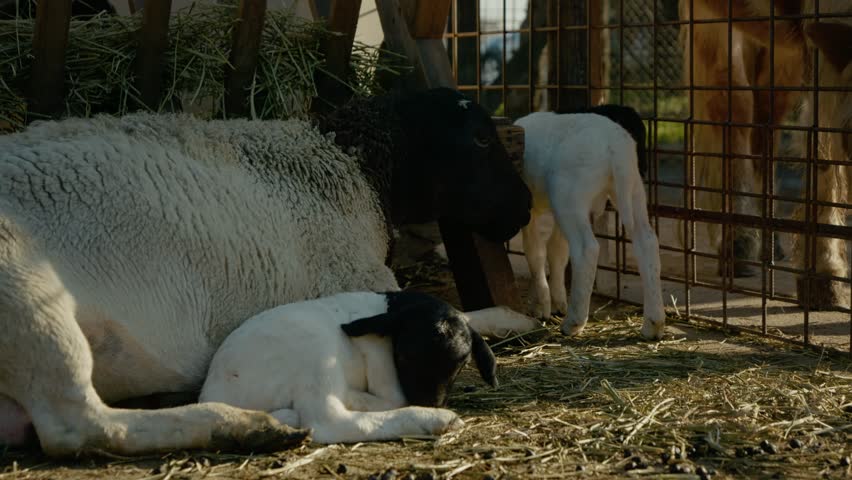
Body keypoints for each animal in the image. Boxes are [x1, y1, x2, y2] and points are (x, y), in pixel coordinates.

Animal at [200, 290, 500, 444]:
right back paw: (434, 420)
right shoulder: (378, 357)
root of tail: (214, 393)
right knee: (328, 422)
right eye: (403, 356)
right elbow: (393, 395)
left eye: (462, 363)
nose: (429, 402)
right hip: (316, 350)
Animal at [514, 110, 666, 340]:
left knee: (587, 249)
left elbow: (535, 253)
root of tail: (614, 146)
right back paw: (653, 324)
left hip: (567, 194)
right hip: (632, 188)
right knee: (646, 242)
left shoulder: (531, 210)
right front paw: (556, 302)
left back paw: (573, 323)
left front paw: (542, 305)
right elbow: (557, 252)